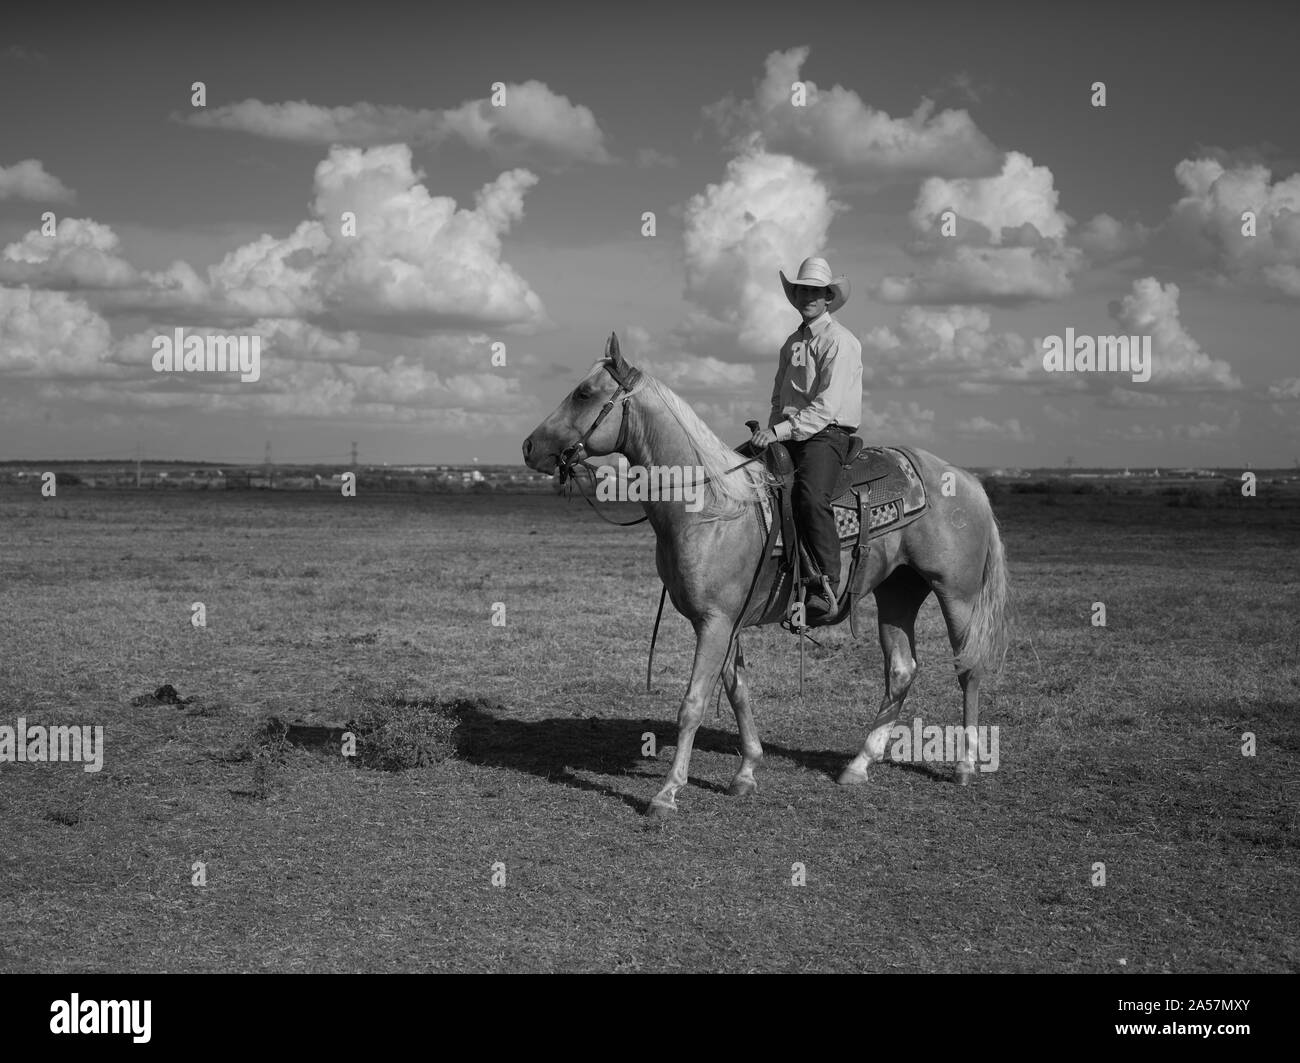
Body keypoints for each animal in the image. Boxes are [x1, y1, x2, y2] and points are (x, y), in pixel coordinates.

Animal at [522, 333, 1009, 819]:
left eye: (584, 393)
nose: (528, 447)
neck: (711, 506)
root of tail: (967, 479)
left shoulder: (716, 622)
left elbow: (693, 703)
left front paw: (667, 792)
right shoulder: (723, 622)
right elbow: (737, 689)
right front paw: (747, 772)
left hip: (956, 594)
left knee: (968, 667)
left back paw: (965, 765)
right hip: (898, 592)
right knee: (902, 670)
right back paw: (858, 765)